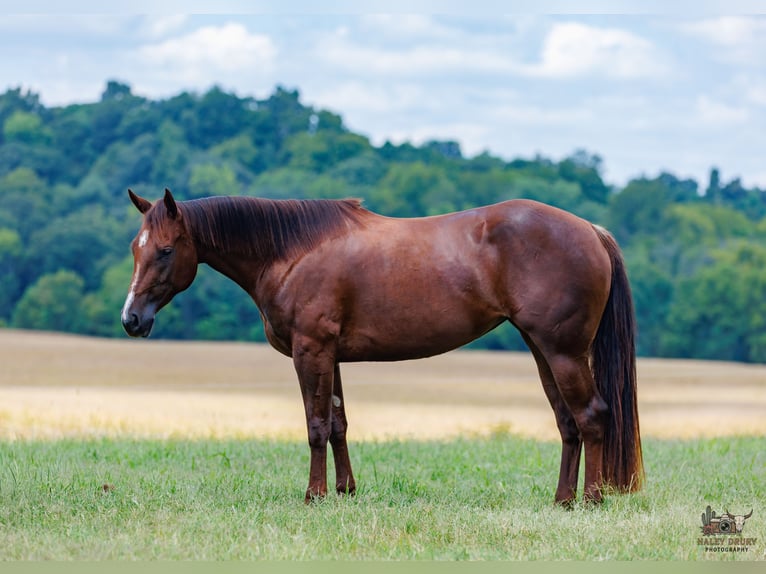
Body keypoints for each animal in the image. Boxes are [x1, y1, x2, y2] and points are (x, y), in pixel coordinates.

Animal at [121, 188, 643, 505]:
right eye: (134, 247)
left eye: (165, 250)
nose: (131, 319)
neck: (291, 252)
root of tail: (590, 230)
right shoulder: (330, 357)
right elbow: (337, 424)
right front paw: (345, 491)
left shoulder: (311, 351)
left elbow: (315, 426)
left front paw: (314, 496)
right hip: (541, 349)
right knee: (567, 423)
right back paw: (562, 501)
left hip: (563, 351)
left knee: (592, 416)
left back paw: (592, 500)